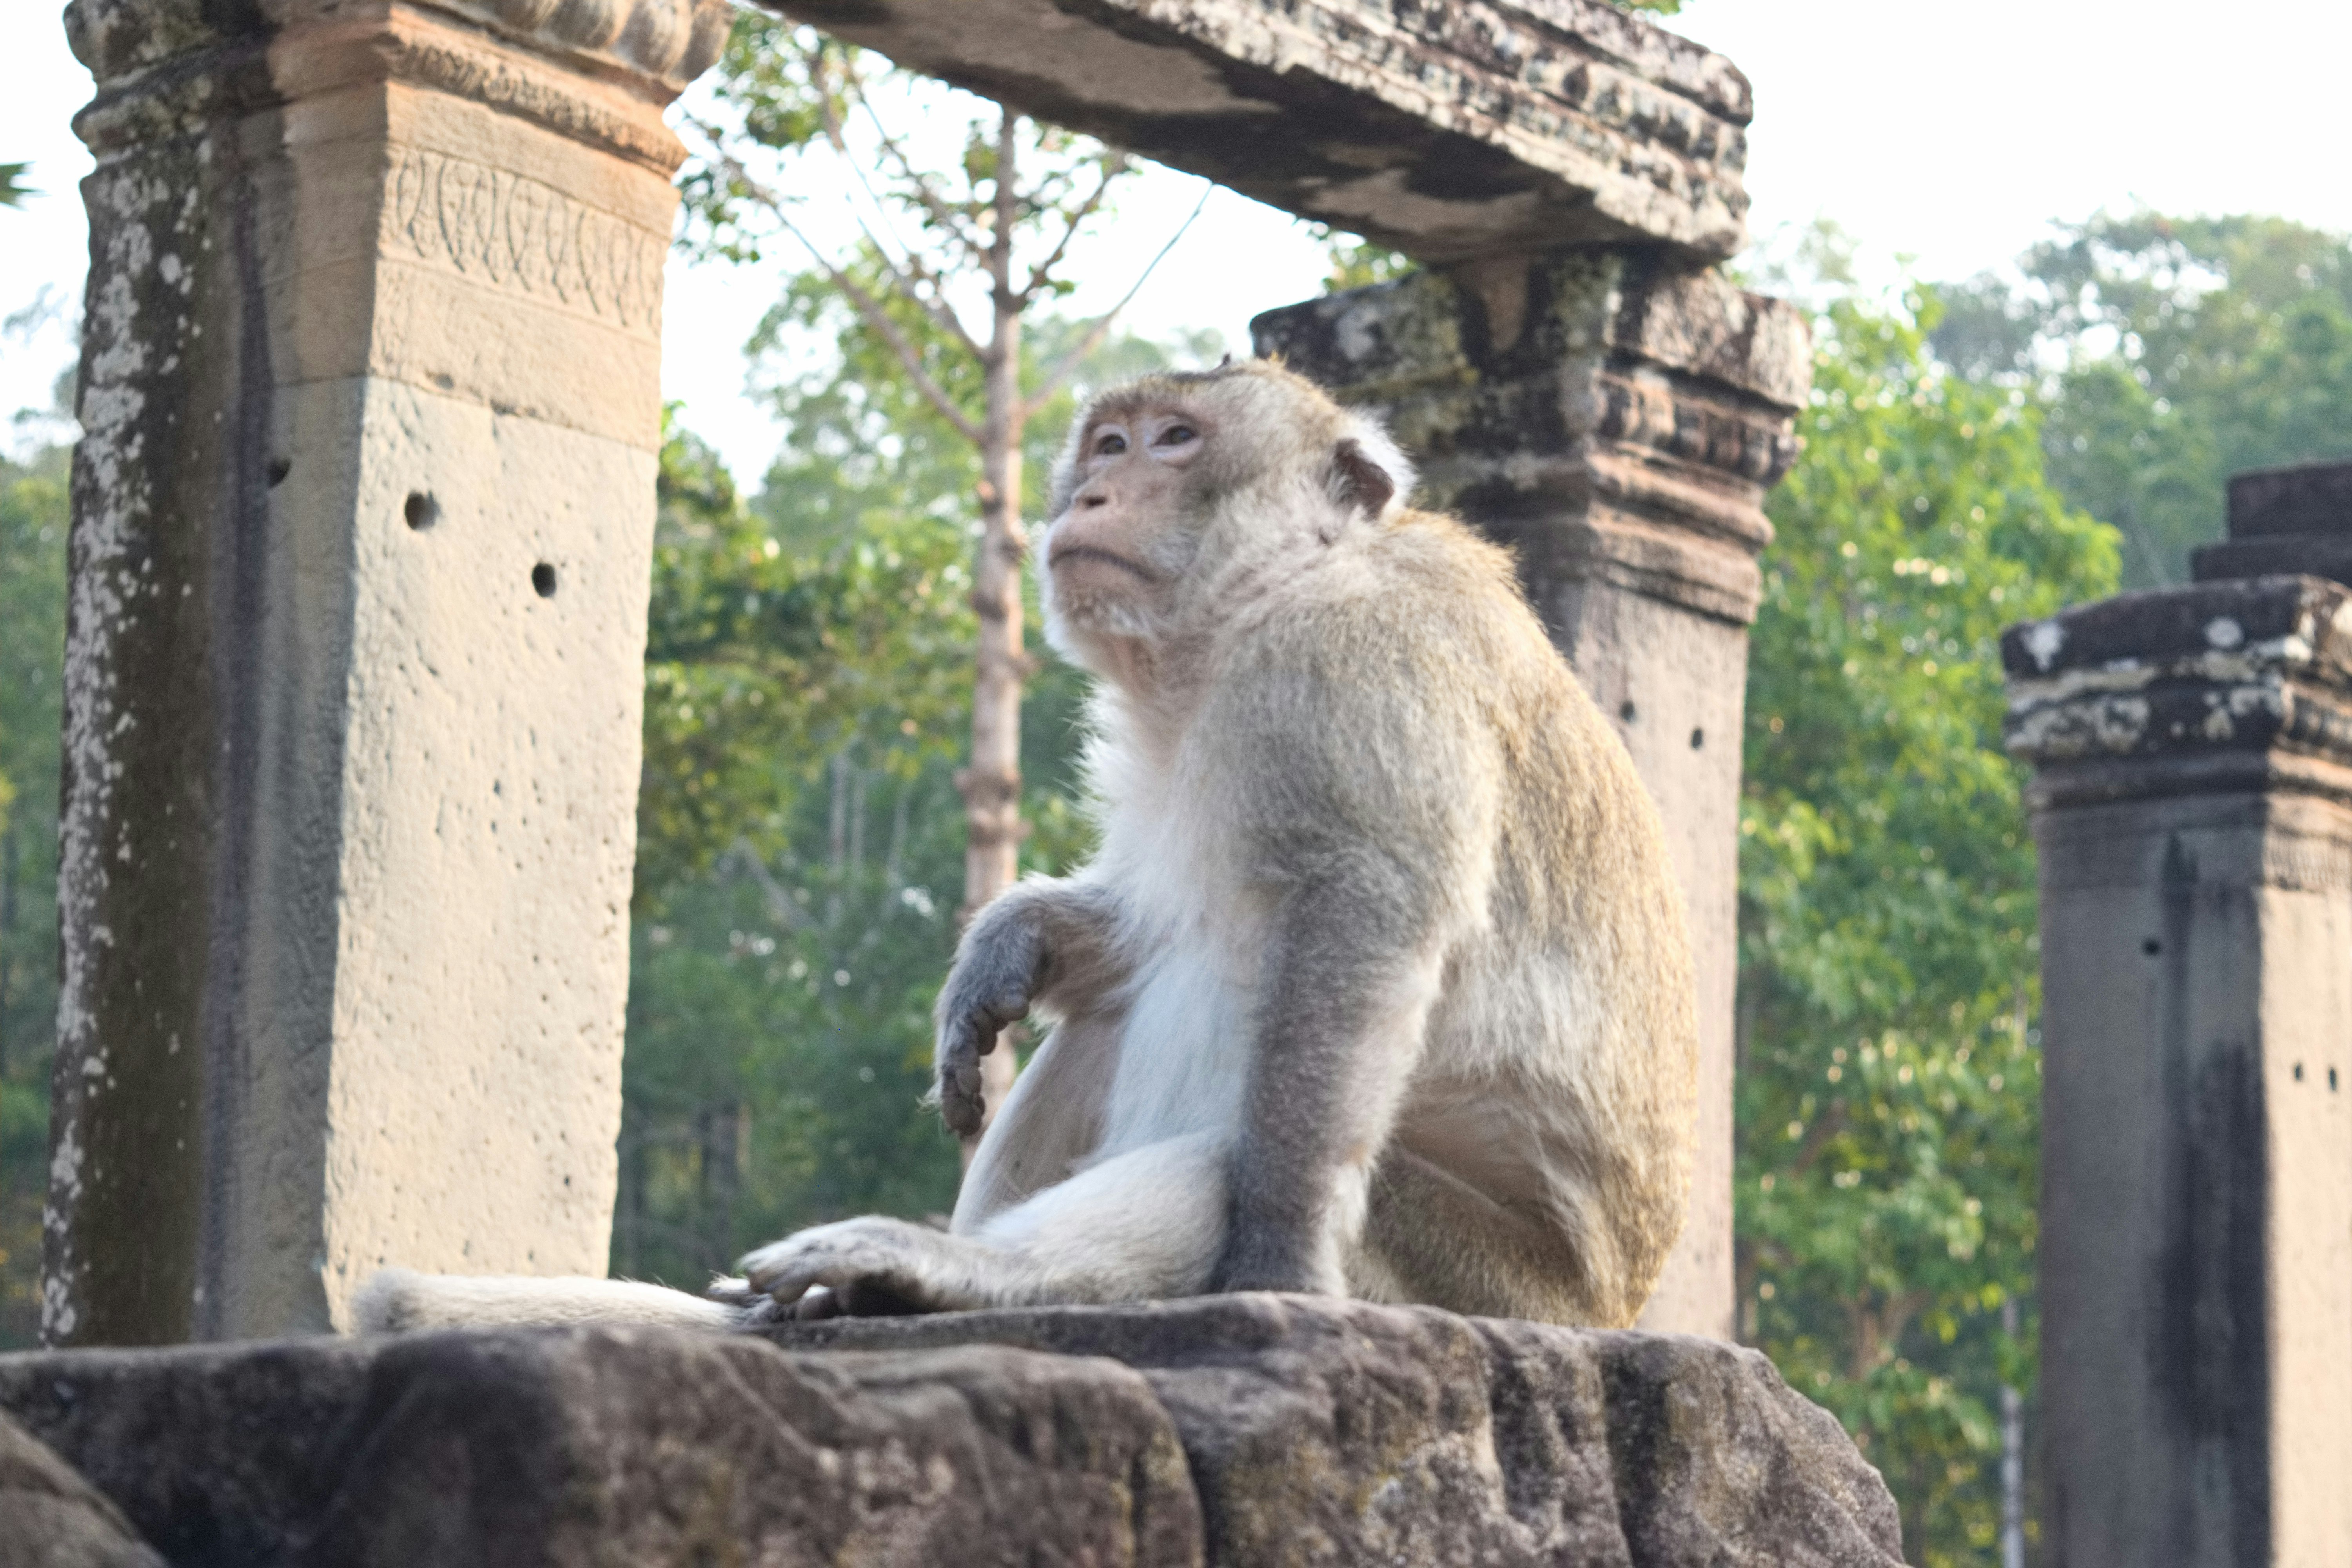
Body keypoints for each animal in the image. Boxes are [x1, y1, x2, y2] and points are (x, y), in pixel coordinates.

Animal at [354, 358, 1696, 1336]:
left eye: (1175, 441)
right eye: (1108, 444)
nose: (1093, 498)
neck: (1256, 610)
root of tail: (1611, 1310)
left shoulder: (1358, 669)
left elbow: (1364, 914)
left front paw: (1277, 1253)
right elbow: (1133, 928)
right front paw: (1009, 944)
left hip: (1474, 1277)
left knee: (1230, 1141)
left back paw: (953, 1275)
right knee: (1106, 1015)